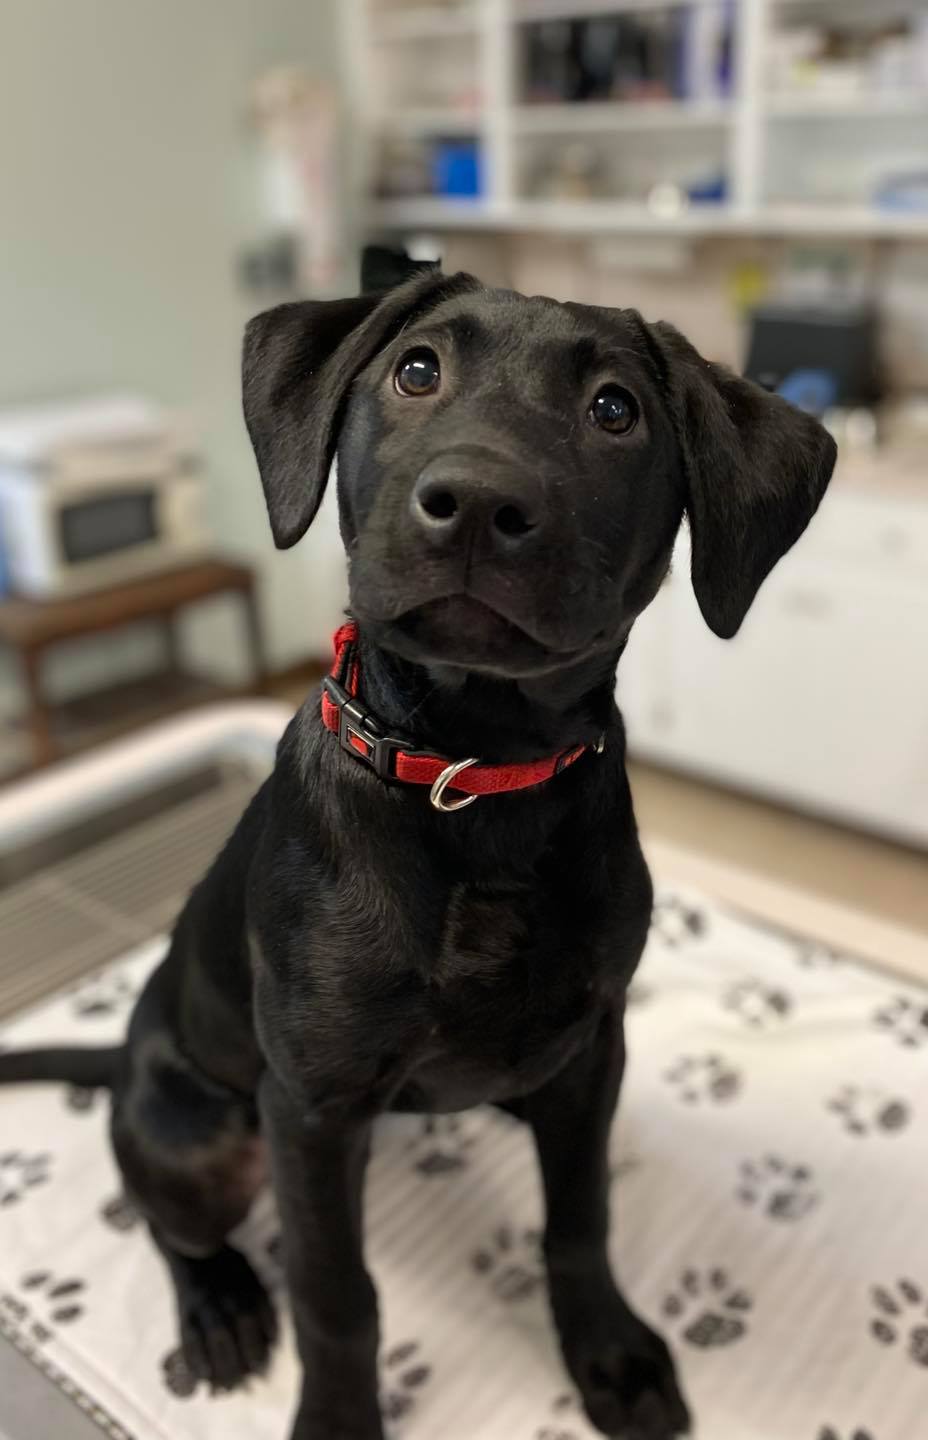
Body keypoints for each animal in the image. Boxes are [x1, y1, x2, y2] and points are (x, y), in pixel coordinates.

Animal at [0, 270, 836, 1440]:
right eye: (416, 369)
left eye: (616, 410)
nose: (479, 503)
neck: (473, 781)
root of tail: (122, 1057)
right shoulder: (309, 1109)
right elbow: (334, 1291)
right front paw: (340, 1417)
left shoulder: (593, 1049)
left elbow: (580, 1216)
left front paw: (607, 1351)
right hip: (197, 1130)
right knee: (169, 1220)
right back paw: (218, 1307)